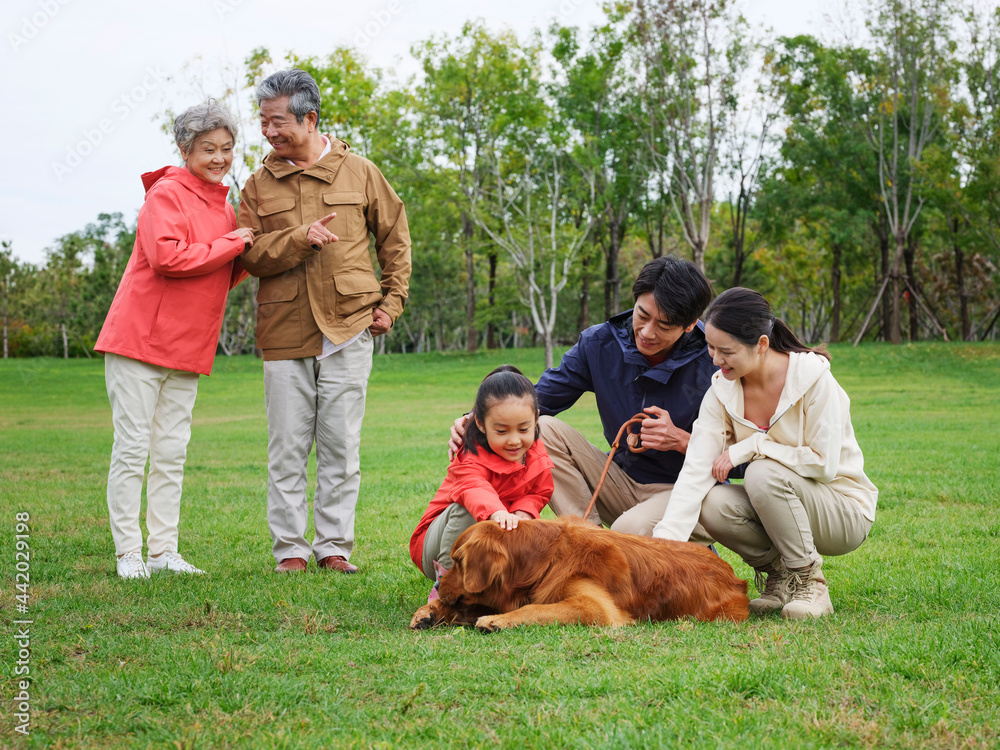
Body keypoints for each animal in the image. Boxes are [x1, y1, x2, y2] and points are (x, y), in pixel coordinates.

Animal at [410, 516, 748, 636]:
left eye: (458, 561)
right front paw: (429, 611)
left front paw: (497, 620)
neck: (545, 559)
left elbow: (534, 608)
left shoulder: (595, 606)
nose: (438, 584)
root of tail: (737, 580)